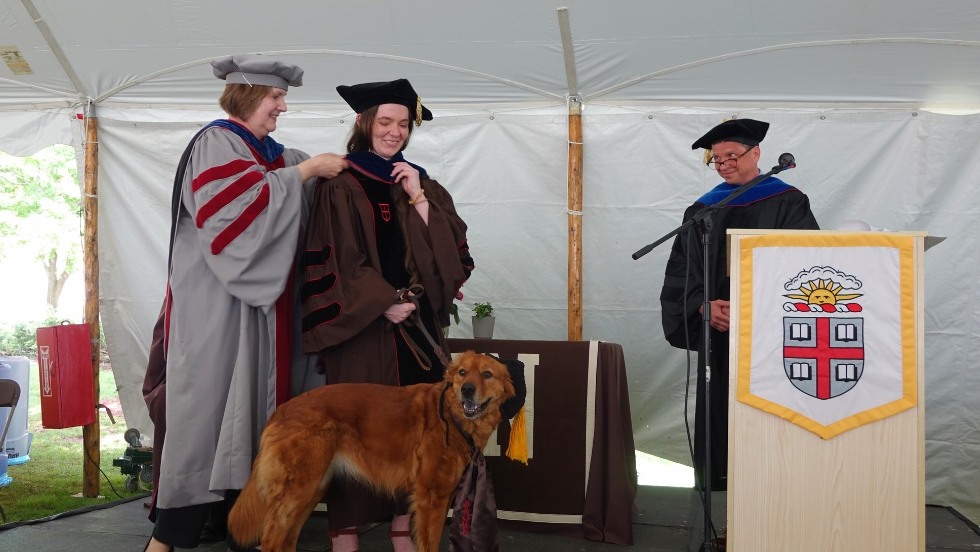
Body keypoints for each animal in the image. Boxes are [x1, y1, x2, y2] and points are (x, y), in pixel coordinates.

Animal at [222, 352, 512, 548]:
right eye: (462, 373)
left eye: (487, 374)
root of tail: (281, 410)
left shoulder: (441, 495)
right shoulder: (431, 497)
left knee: (284, 540)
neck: (451, 415)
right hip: (298, 490)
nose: (467, 390)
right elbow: (429, 543)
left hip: (311, 490)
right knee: (271, 540)